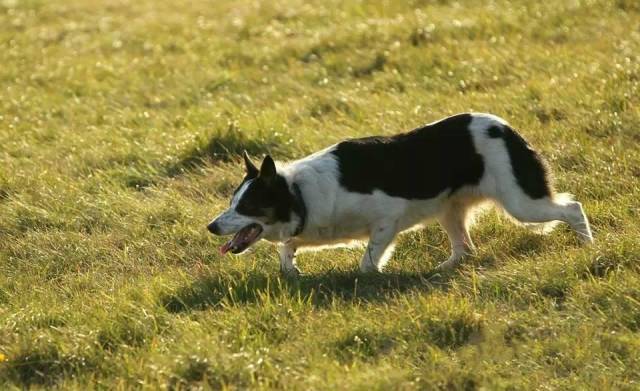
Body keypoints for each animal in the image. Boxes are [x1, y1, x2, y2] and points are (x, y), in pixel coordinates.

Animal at [208, 113, 592, 276]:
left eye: (247, 205)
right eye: (231, 203)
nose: (211, 227)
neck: (297, 193)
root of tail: (507, 127)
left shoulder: (387, 219)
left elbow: (367, 261)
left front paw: (372, 276)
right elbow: (287, 249)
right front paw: (291, 270)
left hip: (521, 203)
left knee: (572, 207)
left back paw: (587, 245)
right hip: (450, 210)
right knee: (464, 248)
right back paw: (441, 269)